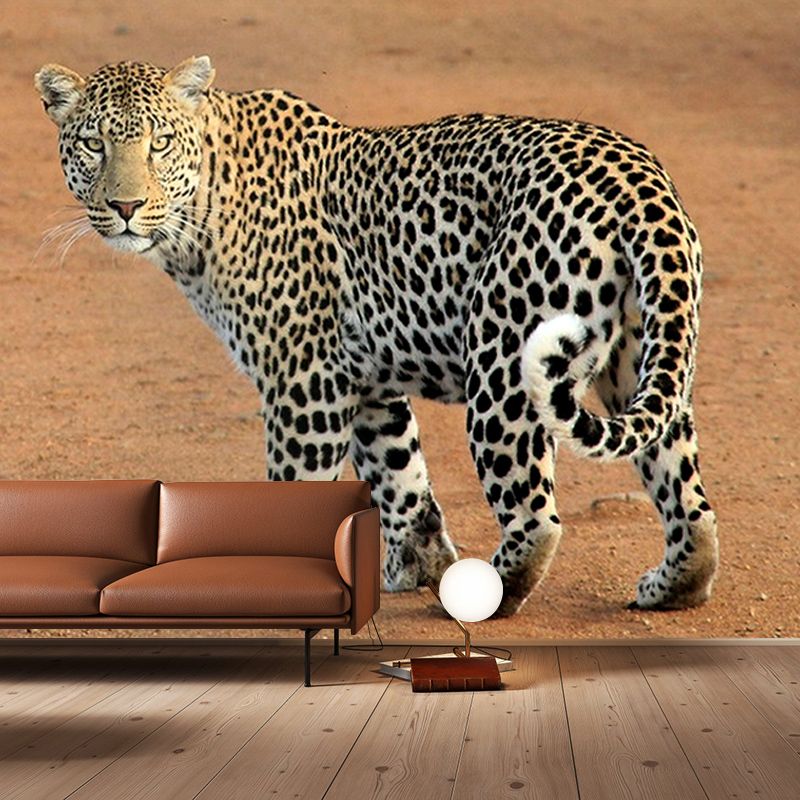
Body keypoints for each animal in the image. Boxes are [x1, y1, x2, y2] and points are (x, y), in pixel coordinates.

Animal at [35, 56, 718, 616]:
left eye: (159, 144)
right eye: (93, 144)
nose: (125, 207)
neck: (201, 212)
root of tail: (638, 178)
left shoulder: (304, 382)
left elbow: (297, 495)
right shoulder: (364, 382)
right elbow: (402, 478)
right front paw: (416, 564)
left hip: (503, 364)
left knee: (535, 516)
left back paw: (482, 592)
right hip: (641, 358)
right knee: (687, 496)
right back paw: (672, 586)